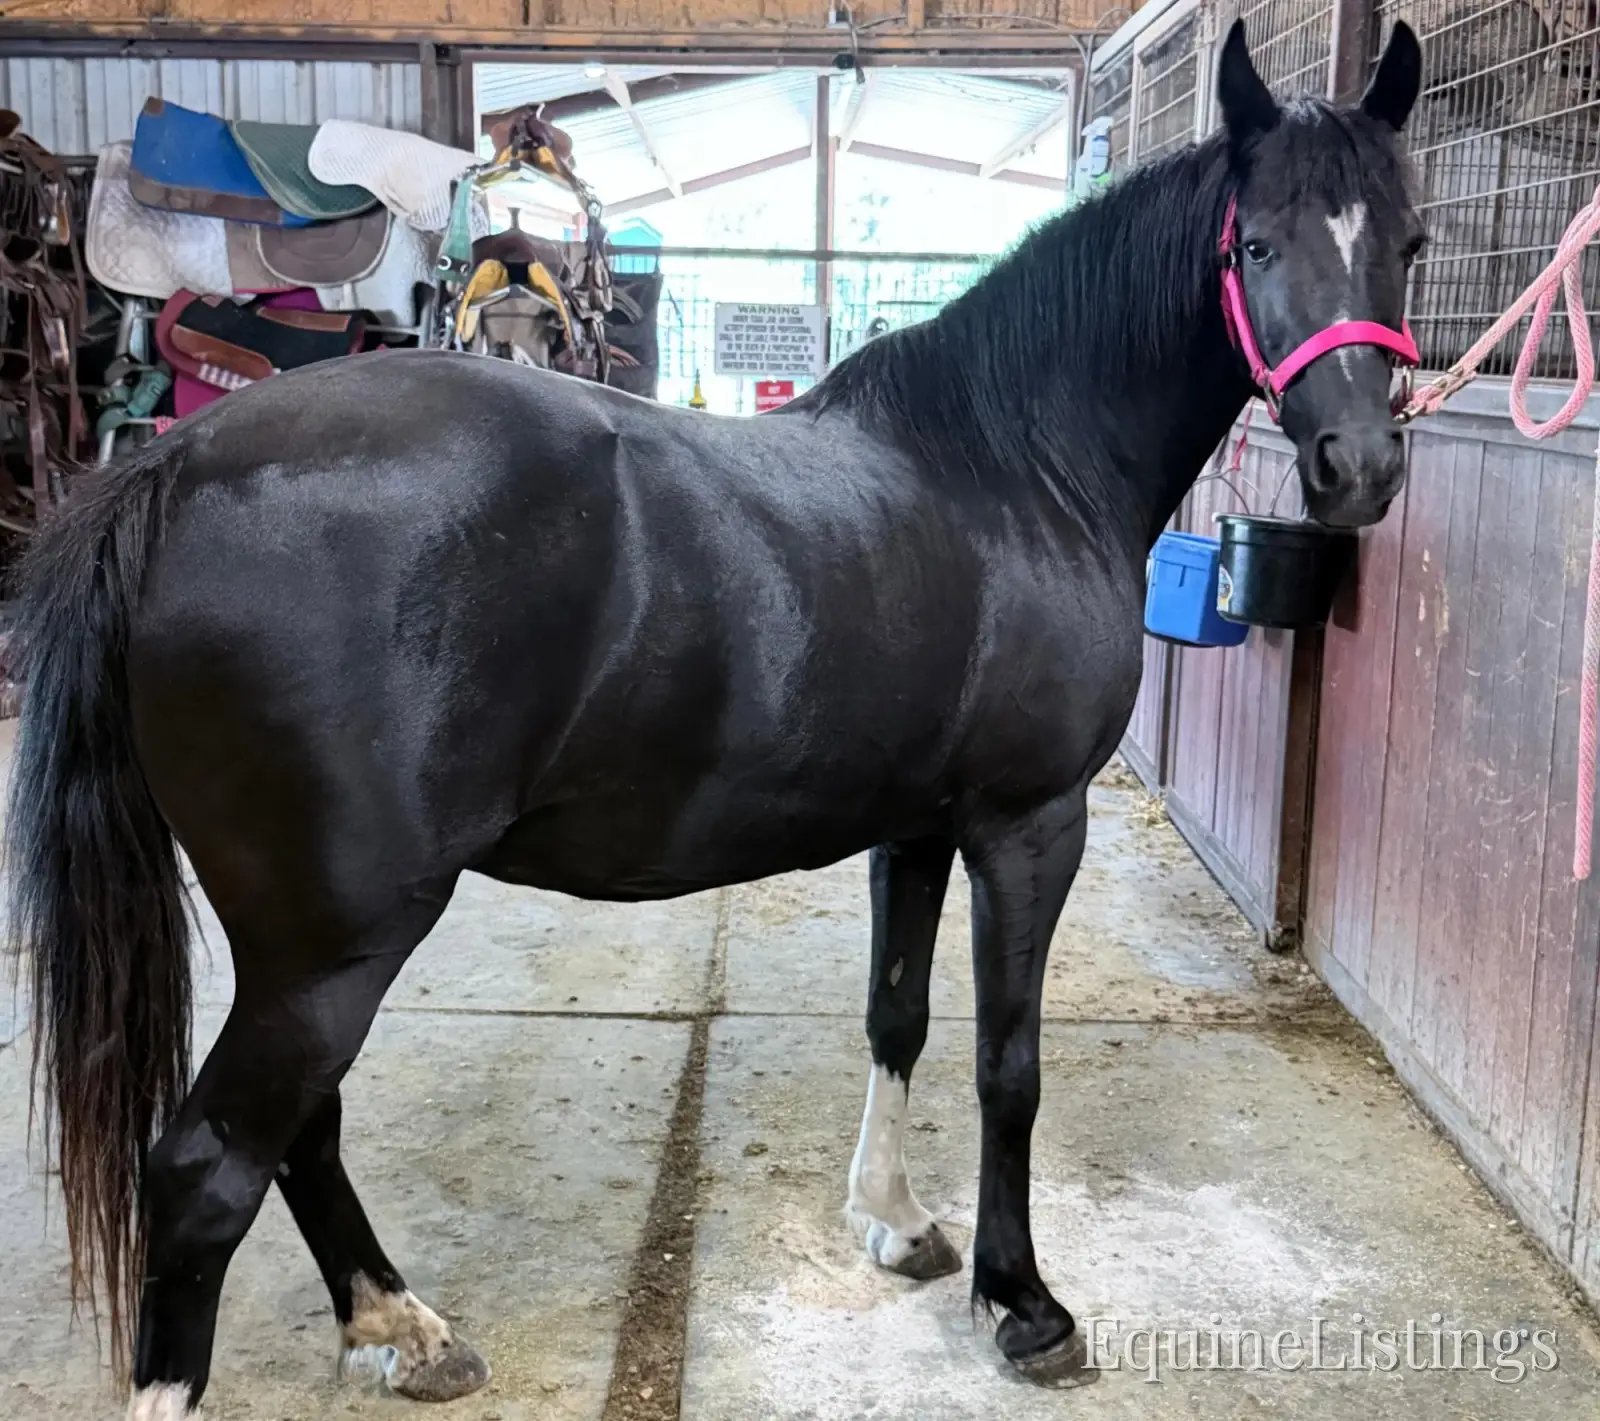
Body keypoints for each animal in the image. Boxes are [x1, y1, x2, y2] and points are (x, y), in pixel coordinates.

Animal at [7, 22, 1423, 1417]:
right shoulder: (1029, 825)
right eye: (1255, 244)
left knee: (300, 1129)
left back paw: (398, 1323)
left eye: (1407, 243)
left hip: (305, 946)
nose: (1358, 466)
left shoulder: (916, 826)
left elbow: (897, 1019)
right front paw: (1022, 1302)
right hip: (333, 944)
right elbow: (1007, 1063)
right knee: (207, 1172)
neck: (1012, 465)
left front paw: (896, 1223)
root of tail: (176, 470)